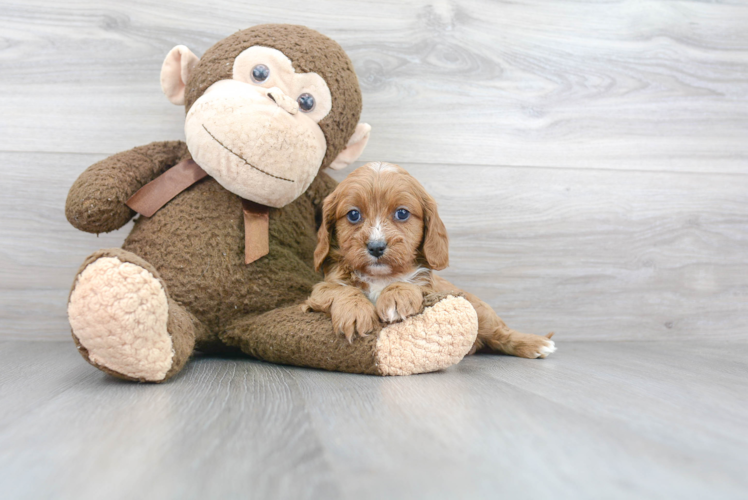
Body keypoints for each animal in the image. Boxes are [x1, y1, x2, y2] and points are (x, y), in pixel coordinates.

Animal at [304, 162, 556, 358]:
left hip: (481, 312)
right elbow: (339, 289)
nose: (376, 247)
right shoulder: (317, 293)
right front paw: (355, 312)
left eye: (402, 213)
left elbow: (409, 284)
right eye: (354, 215)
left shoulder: (430, 289)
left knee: (501, 334)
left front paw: (396, 296)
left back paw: (537, 344)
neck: (381, 277)